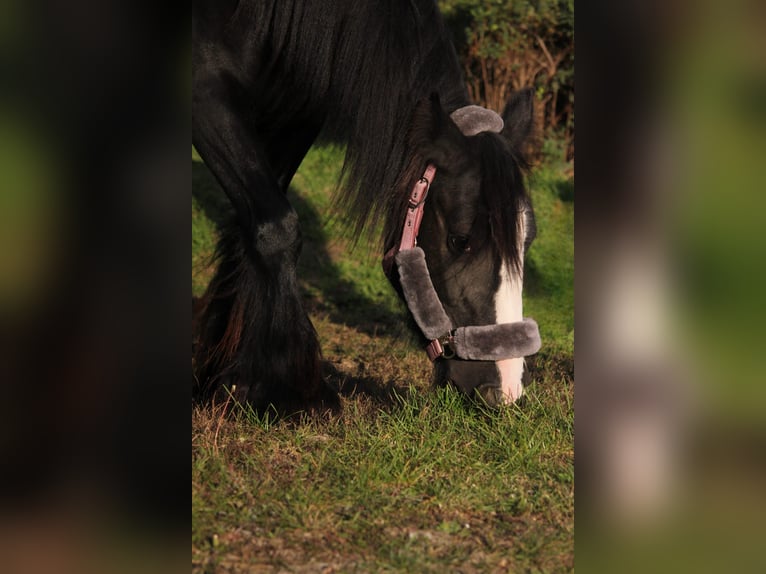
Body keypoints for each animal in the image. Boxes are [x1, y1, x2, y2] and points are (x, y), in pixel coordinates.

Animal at [192, 1, 540, 414]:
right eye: (460, 240)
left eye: (527, 240)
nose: (506, 388)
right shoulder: (205, 93)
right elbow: (278, 229)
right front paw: (291, 393)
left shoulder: (296, 118)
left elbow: (250, 228)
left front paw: (226, 375)